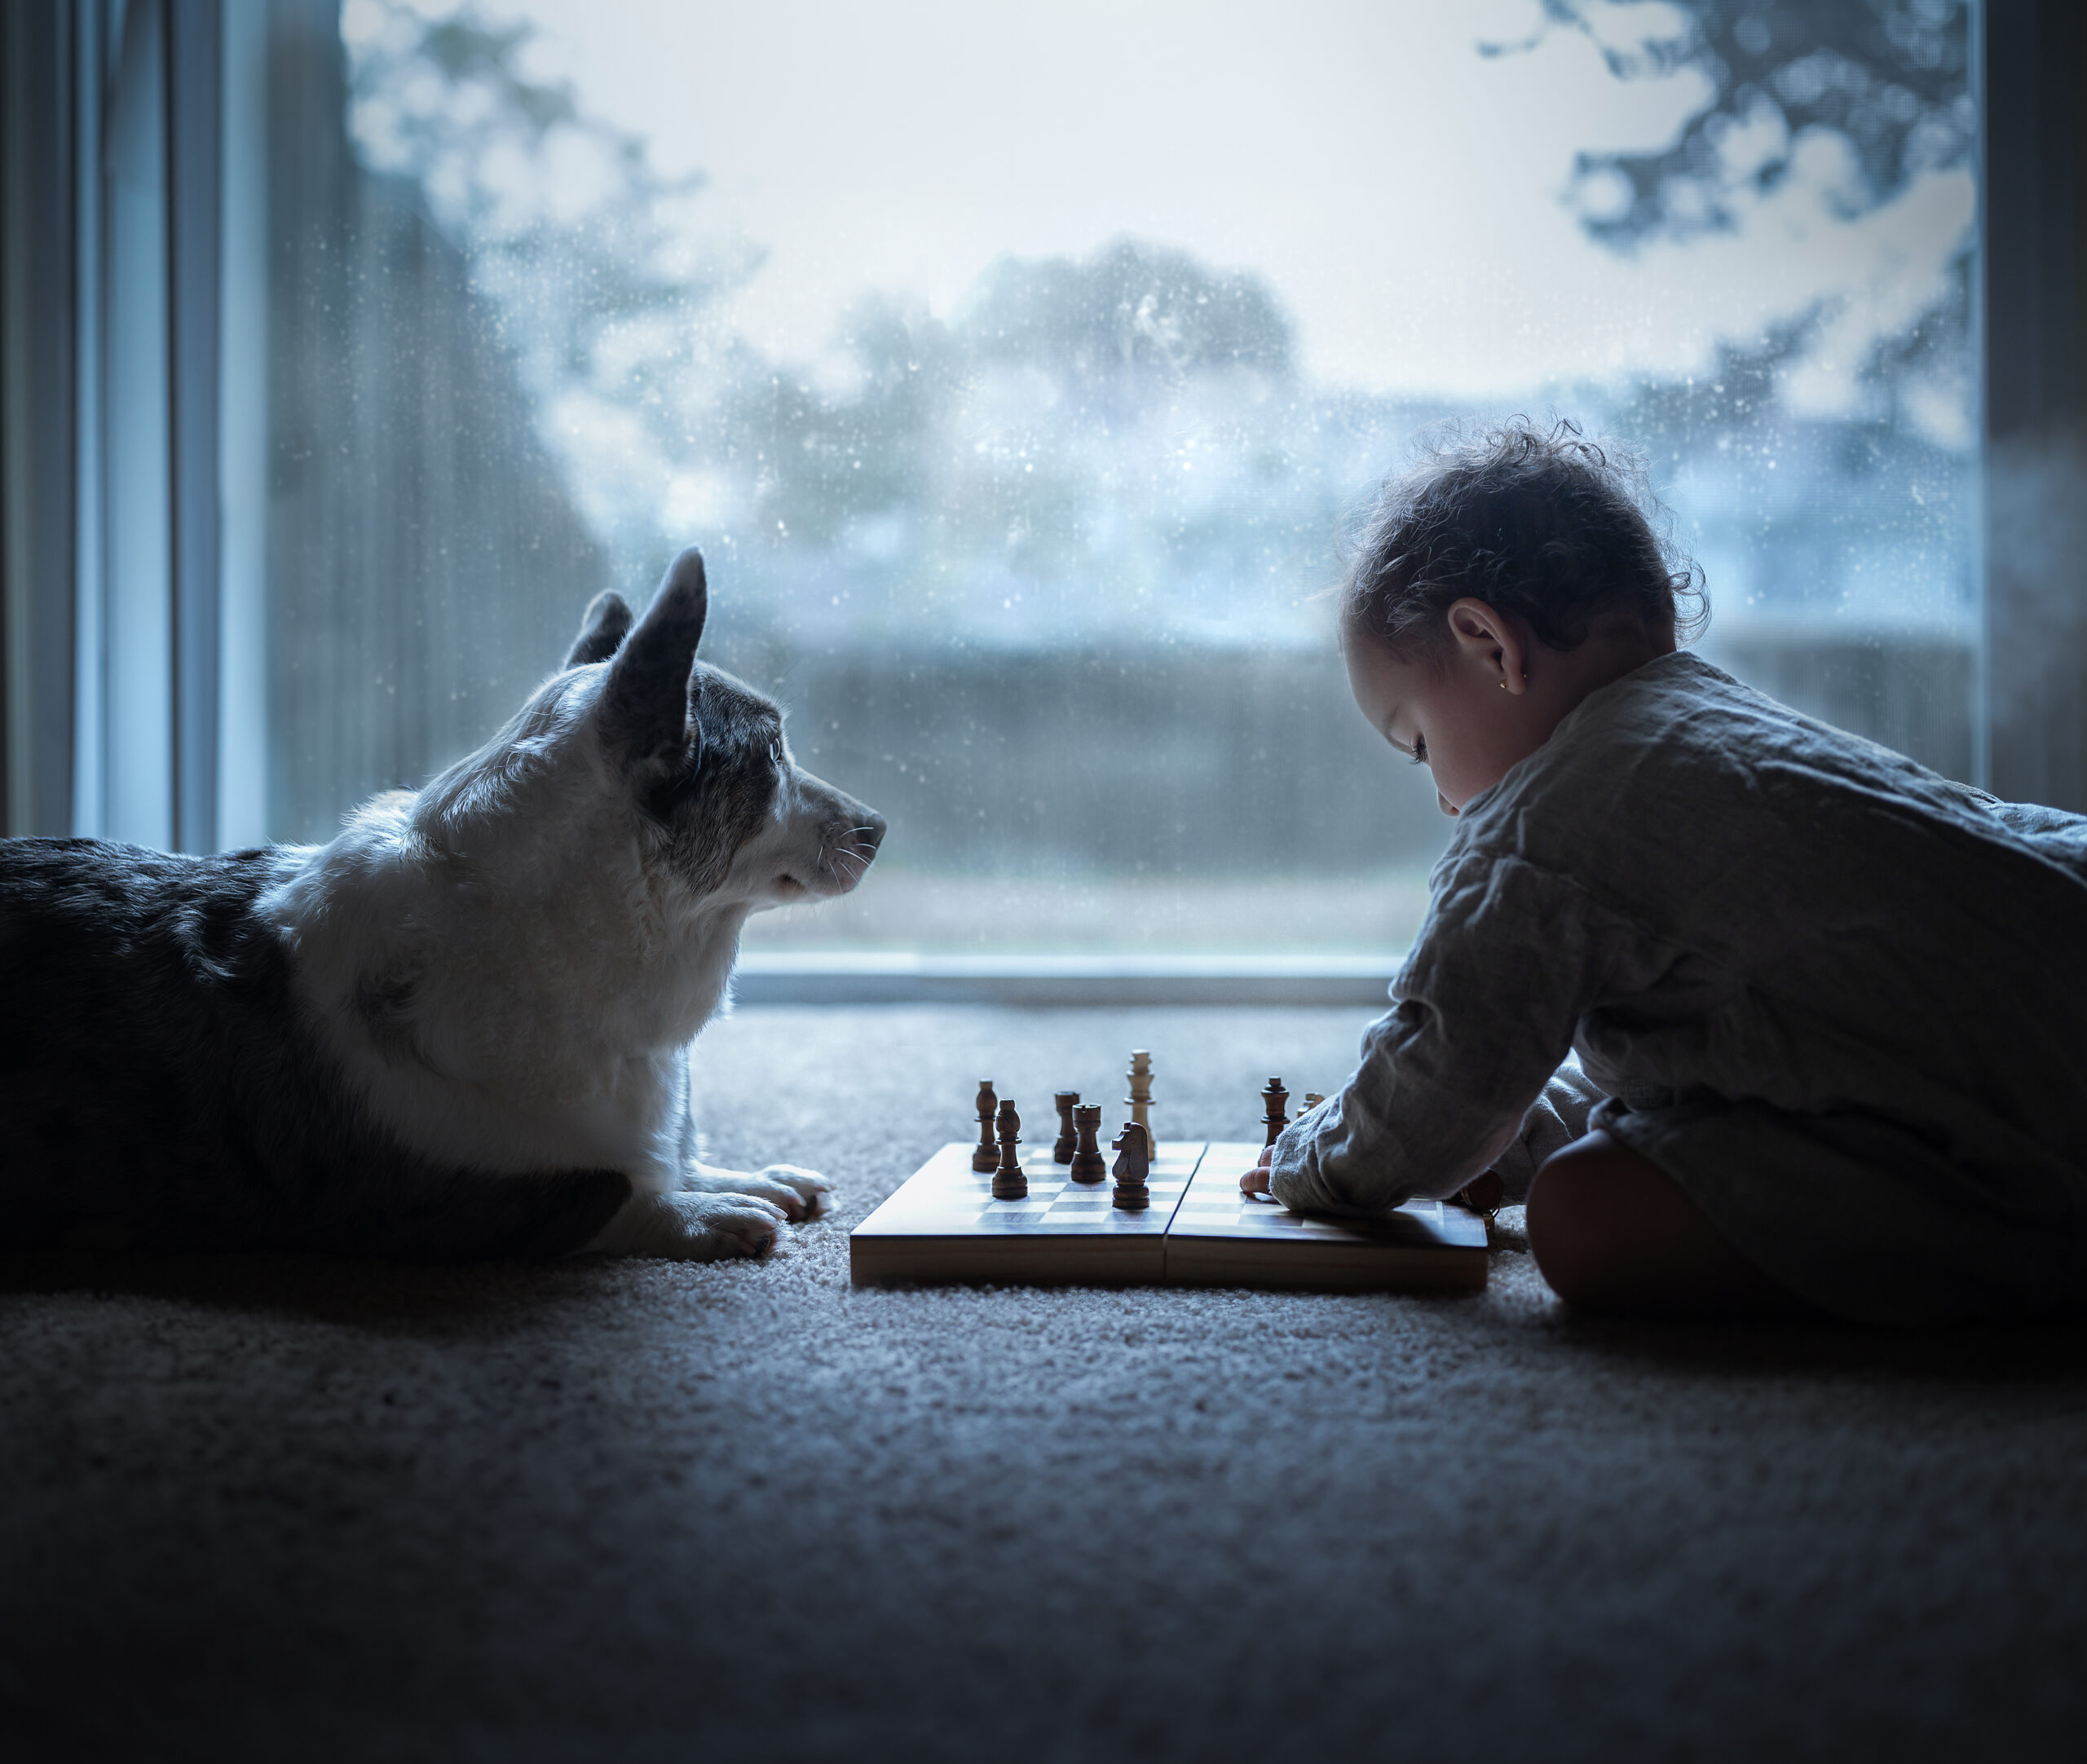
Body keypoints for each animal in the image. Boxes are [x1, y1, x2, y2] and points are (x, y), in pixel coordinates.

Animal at [0, 546, 885, 1252]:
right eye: (771, 756)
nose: (879, 827)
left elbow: (670, 1156)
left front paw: (744, 1174)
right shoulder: (457, 1200)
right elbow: (615, 1189)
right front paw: (708, 1213)